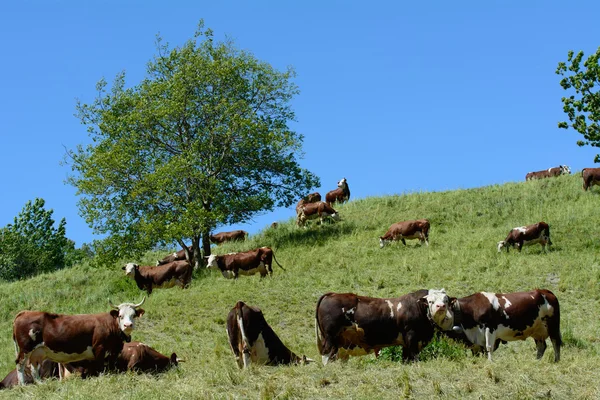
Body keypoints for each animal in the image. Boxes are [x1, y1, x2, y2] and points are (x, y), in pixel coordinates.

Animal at [12, 296, 145, 384]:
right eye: (120, 316)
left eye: (133, 315)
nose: (128, 325)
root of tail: (24, 312)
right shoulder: (99, 348)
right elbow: (100, 367)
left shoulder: (114, 351)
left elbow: (111, 366)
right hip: (25, 349)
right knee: (20, 364)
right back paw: (23, 385)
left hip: (37, 352)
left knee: (33, 367)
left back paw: (41, 384)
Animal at [316, 290, 452, 364]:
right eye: (431, 301)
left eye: (445, 300)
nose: (441, 306)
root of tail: (332, 294)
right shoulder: (411, 337)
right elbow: (414, 357)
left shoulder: (406, 344)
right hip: (329, 338)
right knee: (326, 356)